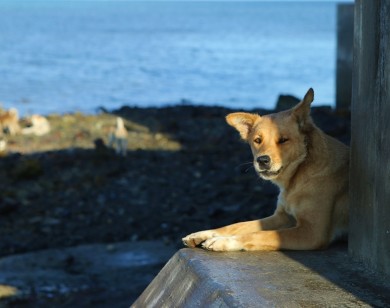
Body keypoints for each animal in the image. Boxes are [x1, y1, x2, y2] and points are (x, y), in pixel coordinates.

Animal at [183, 88, 350, 251]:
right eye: (257, 140)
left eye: (283, 140)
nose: (262, 160)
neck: (298, 175)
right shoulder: (281, 217)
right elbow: (238, 225)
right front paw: (204, 233)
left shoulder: (312, 232)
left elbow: (261, 235)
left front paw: (225, 241)